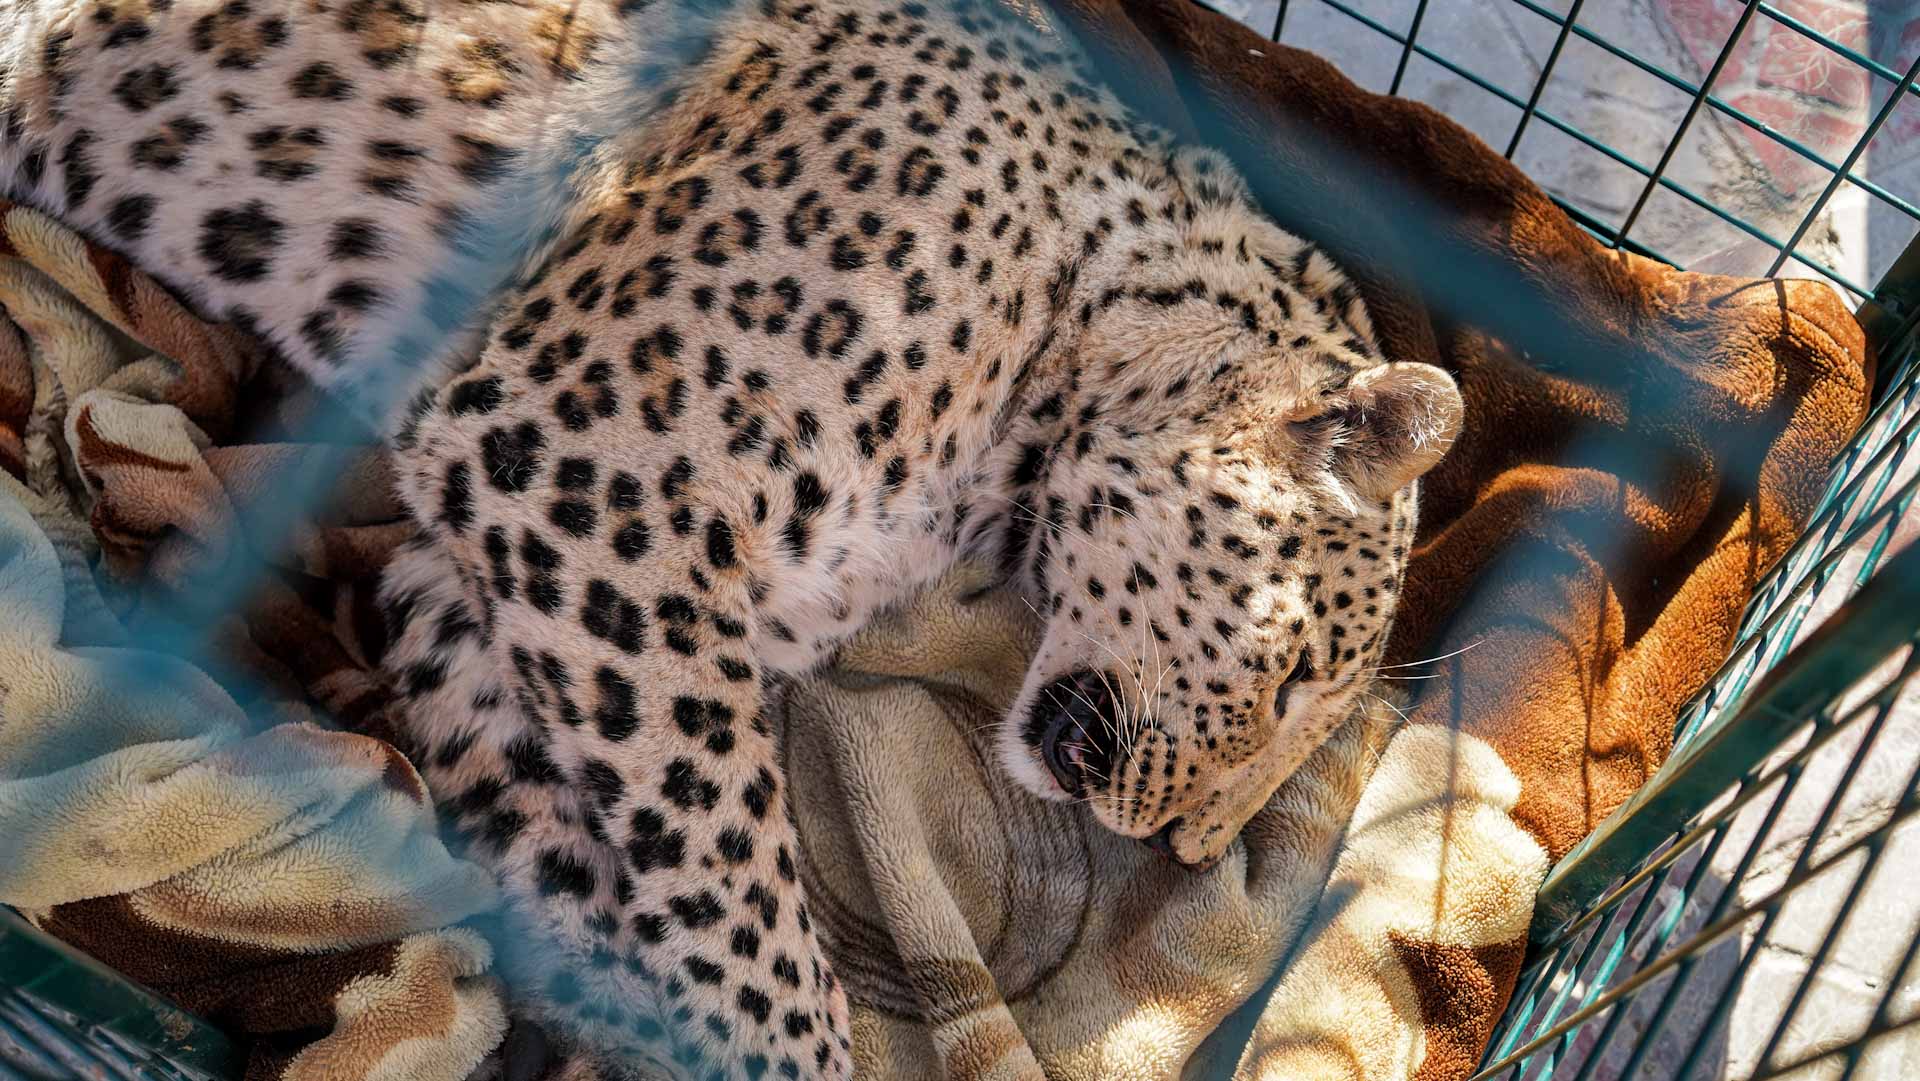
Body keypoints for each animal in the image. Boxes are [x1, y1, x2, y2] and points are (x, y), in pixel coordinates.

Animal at [0, 0, 1459, 1075]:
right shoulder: (582, 468)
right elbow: (738, 893)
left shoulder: (491, 576)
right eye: (1290, 683)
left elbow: (586, 835)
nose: (1187, 851)